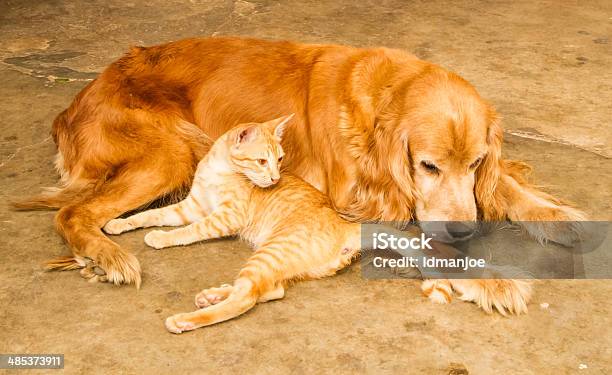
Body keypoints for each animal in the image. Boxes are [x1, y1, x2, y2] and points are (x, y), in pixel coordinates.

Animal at [104, 116, 364, 334]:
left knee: (246, 297)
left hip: (271, 252)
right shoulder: (191, 207)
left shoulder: (226, 216)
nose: (275, 178)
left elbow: (190, 231)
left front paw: (161, 237)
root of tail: (345, 225)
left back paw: (185, 320)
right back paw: (212, 296)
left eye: (279, 159)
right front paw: (120, 223)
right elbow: (151, 215)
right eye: (262, 161)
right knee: (269, 290)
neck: (217, 170)